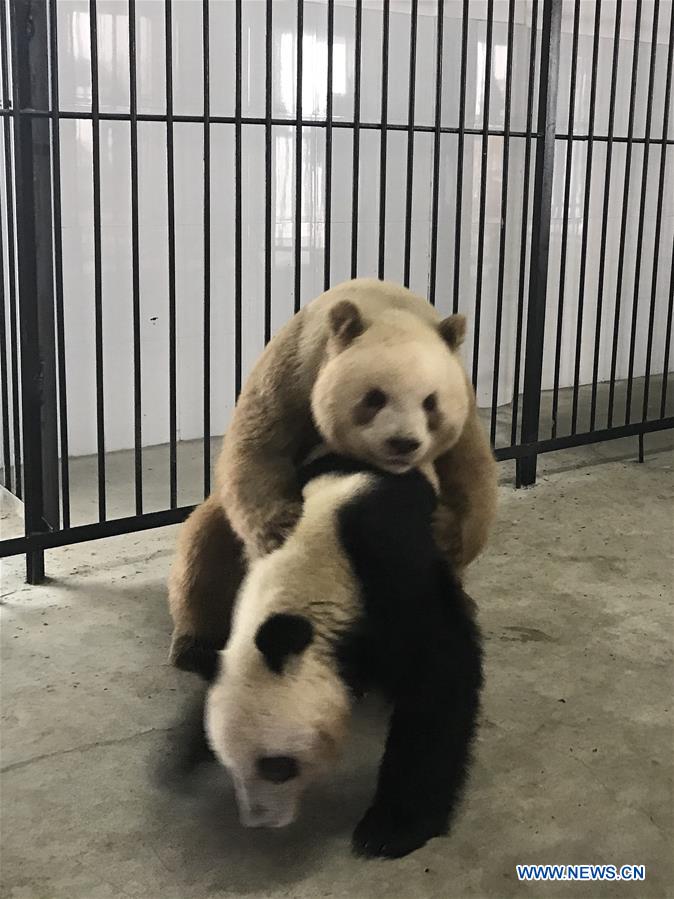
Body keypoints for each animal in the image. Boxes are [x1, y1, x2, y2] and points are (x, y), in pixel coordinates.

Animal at [198, 450, 483, 859]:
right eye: (229, 764)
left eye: (277, 767)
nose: (258, 821)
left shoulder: (387, 567)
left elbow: (438, 677)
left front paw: (389, 830)